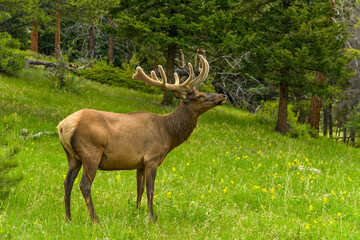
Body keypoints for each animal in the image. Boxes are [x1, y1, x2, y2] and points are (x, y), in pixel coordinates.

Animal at [57, 56, 226, 223]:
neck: (168, 134)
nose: (222, 96)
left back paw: (68, 218)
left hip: (73, 156)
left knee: (67, 182)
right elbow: (151, 189)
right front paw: (152, 217)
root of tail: (63, 126)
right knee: (84, 185)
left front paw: (137, 211)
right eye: (200, 96)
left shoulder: (140, 163)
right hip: (91, 153)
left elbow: (140, 188)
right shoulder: (152, 158)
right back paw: (95, 219)